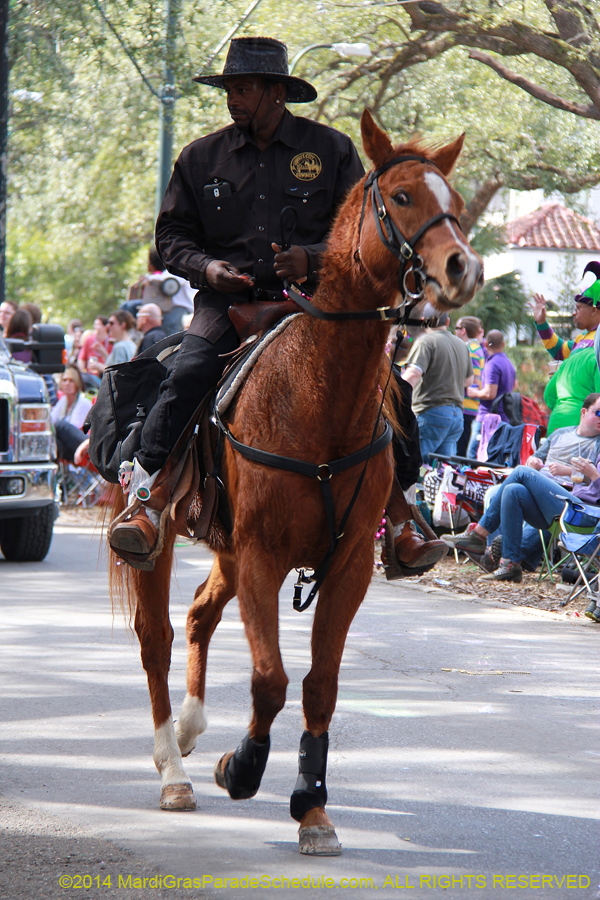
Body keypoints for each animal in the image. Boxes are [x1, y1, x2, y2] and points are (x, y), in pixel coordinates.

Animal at [111, 109, 482, 856]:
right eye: (402, 197)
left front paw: (312, 806)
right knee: (157, 640)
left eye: (455, 203)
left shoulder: (346, 565)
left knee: (199, 616)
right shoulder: (263, 556)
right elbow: (269, 678)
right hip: (163, 547)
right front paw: (242, 768)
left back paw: (190, 734)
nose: (461, 267)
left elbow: (319, 686)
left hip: (225, 546)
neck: (317, 396)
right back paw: (174, 769)